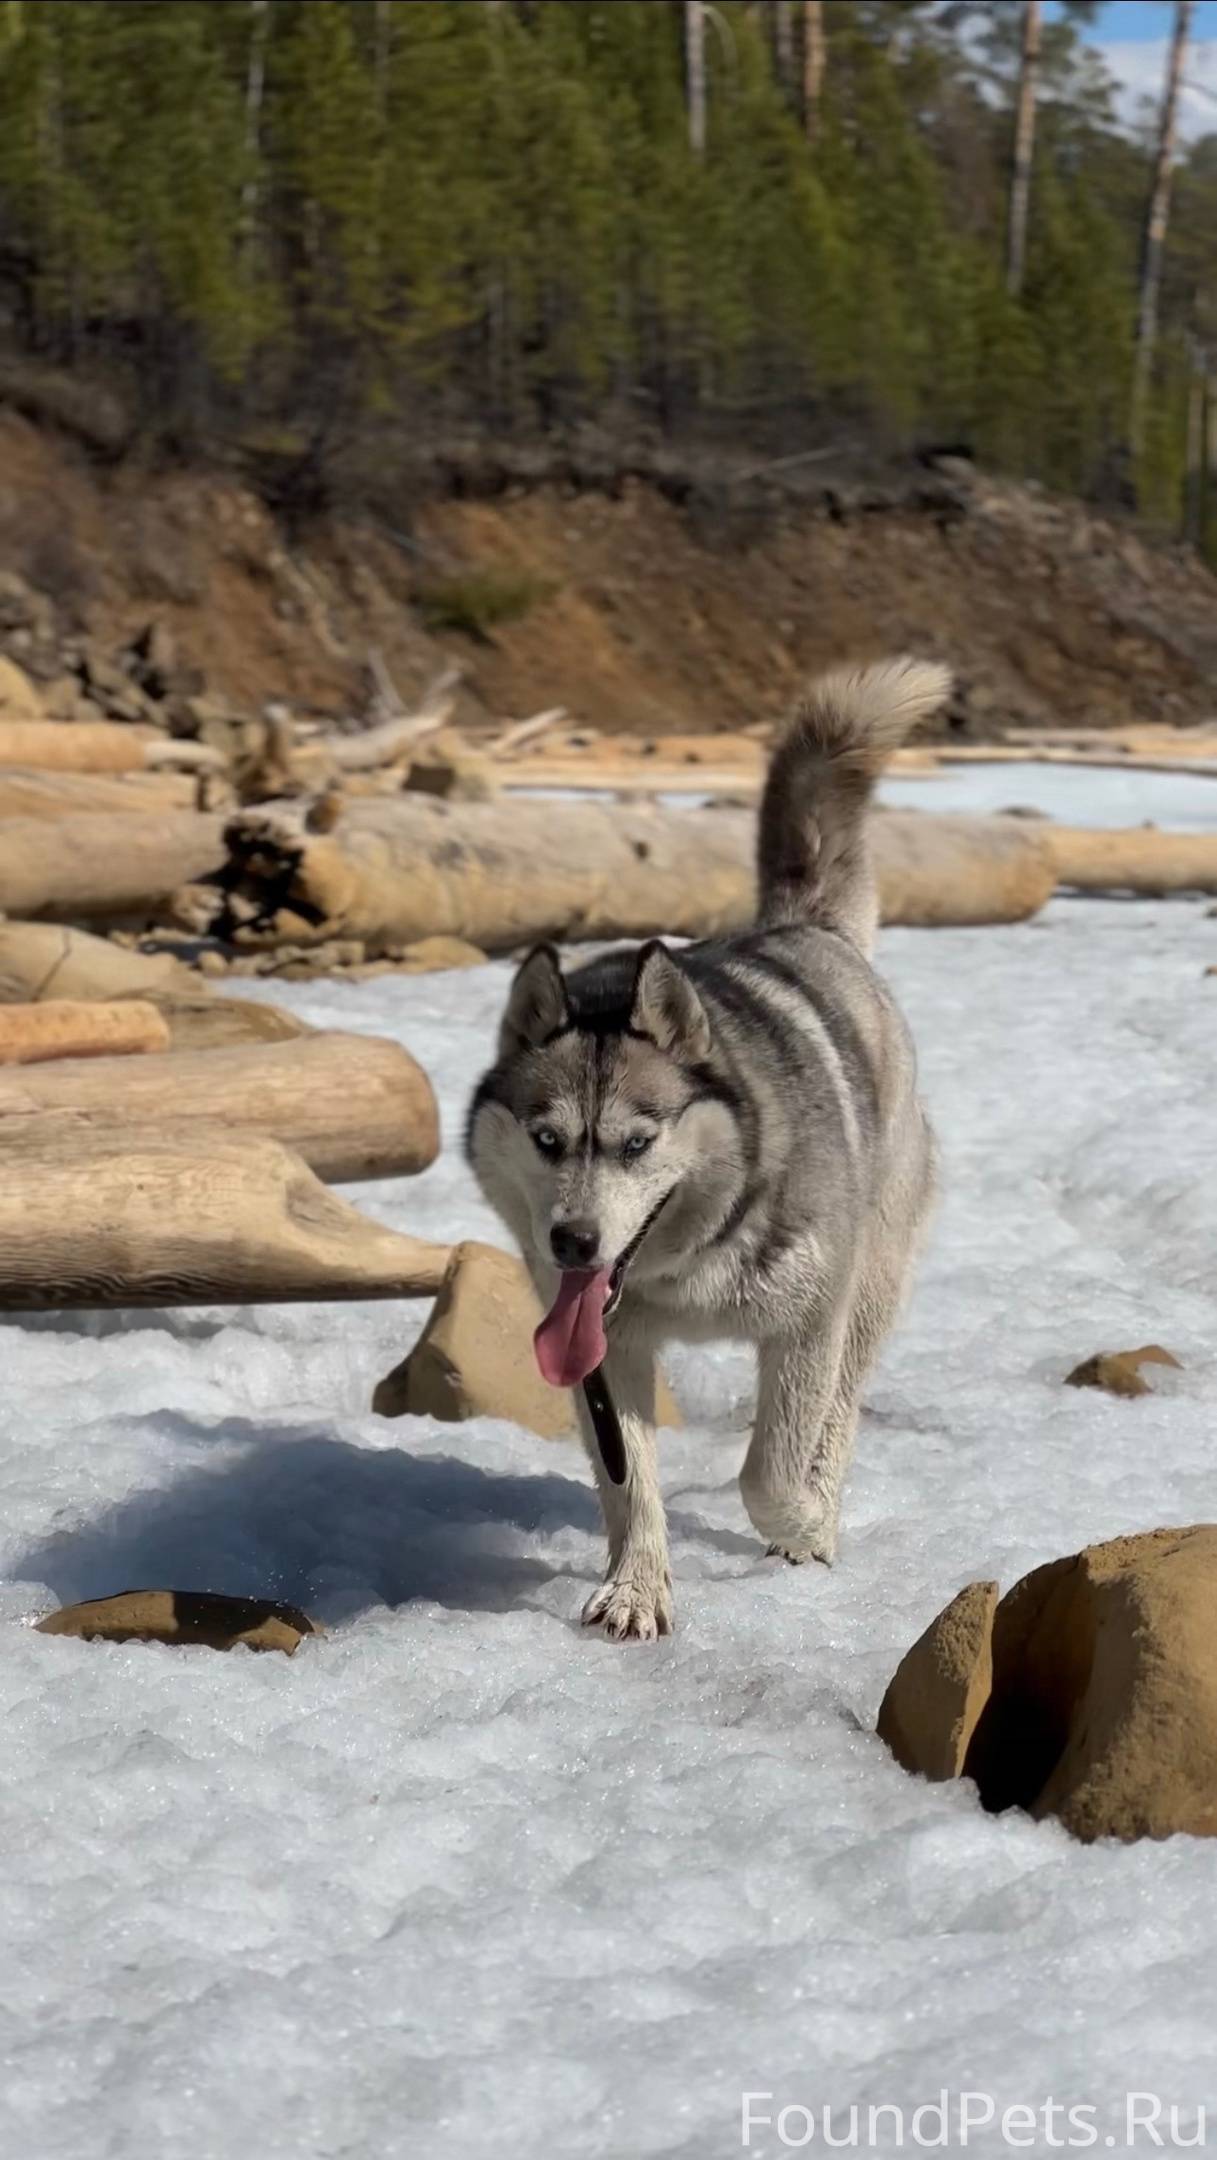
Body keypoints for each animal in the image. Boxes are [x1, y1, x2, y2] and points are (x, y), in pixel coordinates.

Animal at [466, 656, 951, 1632]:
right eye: (546, 1137)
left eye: (637, 1142)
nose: (571, 1242)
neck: (681, 1271)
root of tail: (806, 926)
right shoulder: (604, 1353)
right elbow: (630, 1481)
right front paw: (635, 1588)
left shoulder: (806, 1322)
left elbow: (768, 1468)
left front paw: (800, 1525)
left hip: (870, 1279)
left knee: (841, 1410)